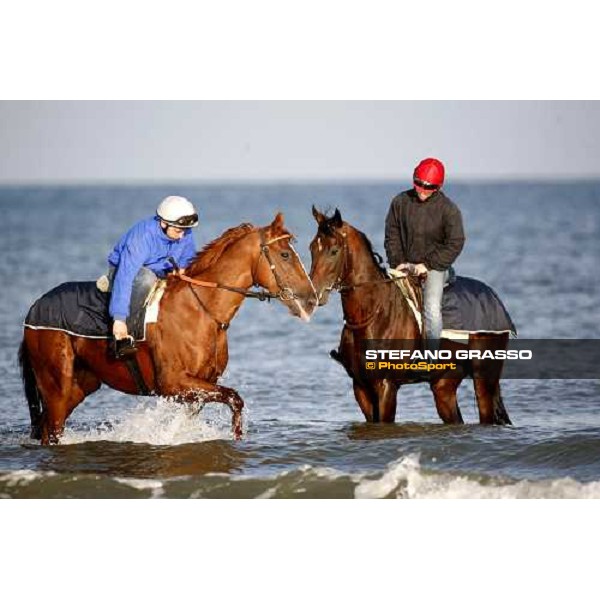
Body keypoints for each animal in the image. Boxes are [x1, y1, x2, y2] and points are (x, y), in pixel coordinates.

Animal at [20, 213, 316, 442]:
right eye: (285, 254)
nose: (311, 298)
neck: (201, 311)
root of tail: (34, 308)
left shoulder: (199, 386)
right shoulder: (173, 383)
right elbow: (235, 398)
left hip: (82, 384)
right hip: (57, 386)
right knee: (52, 430)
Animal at [310, 206, 510, 426]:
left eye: (334, 250)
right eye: (312, 248)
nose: (312, 294)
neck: (373, 315)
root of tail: (493, 298)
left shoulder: (387, 385)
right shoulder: (360, 387)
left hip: (484, 376)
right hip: (444, 385)